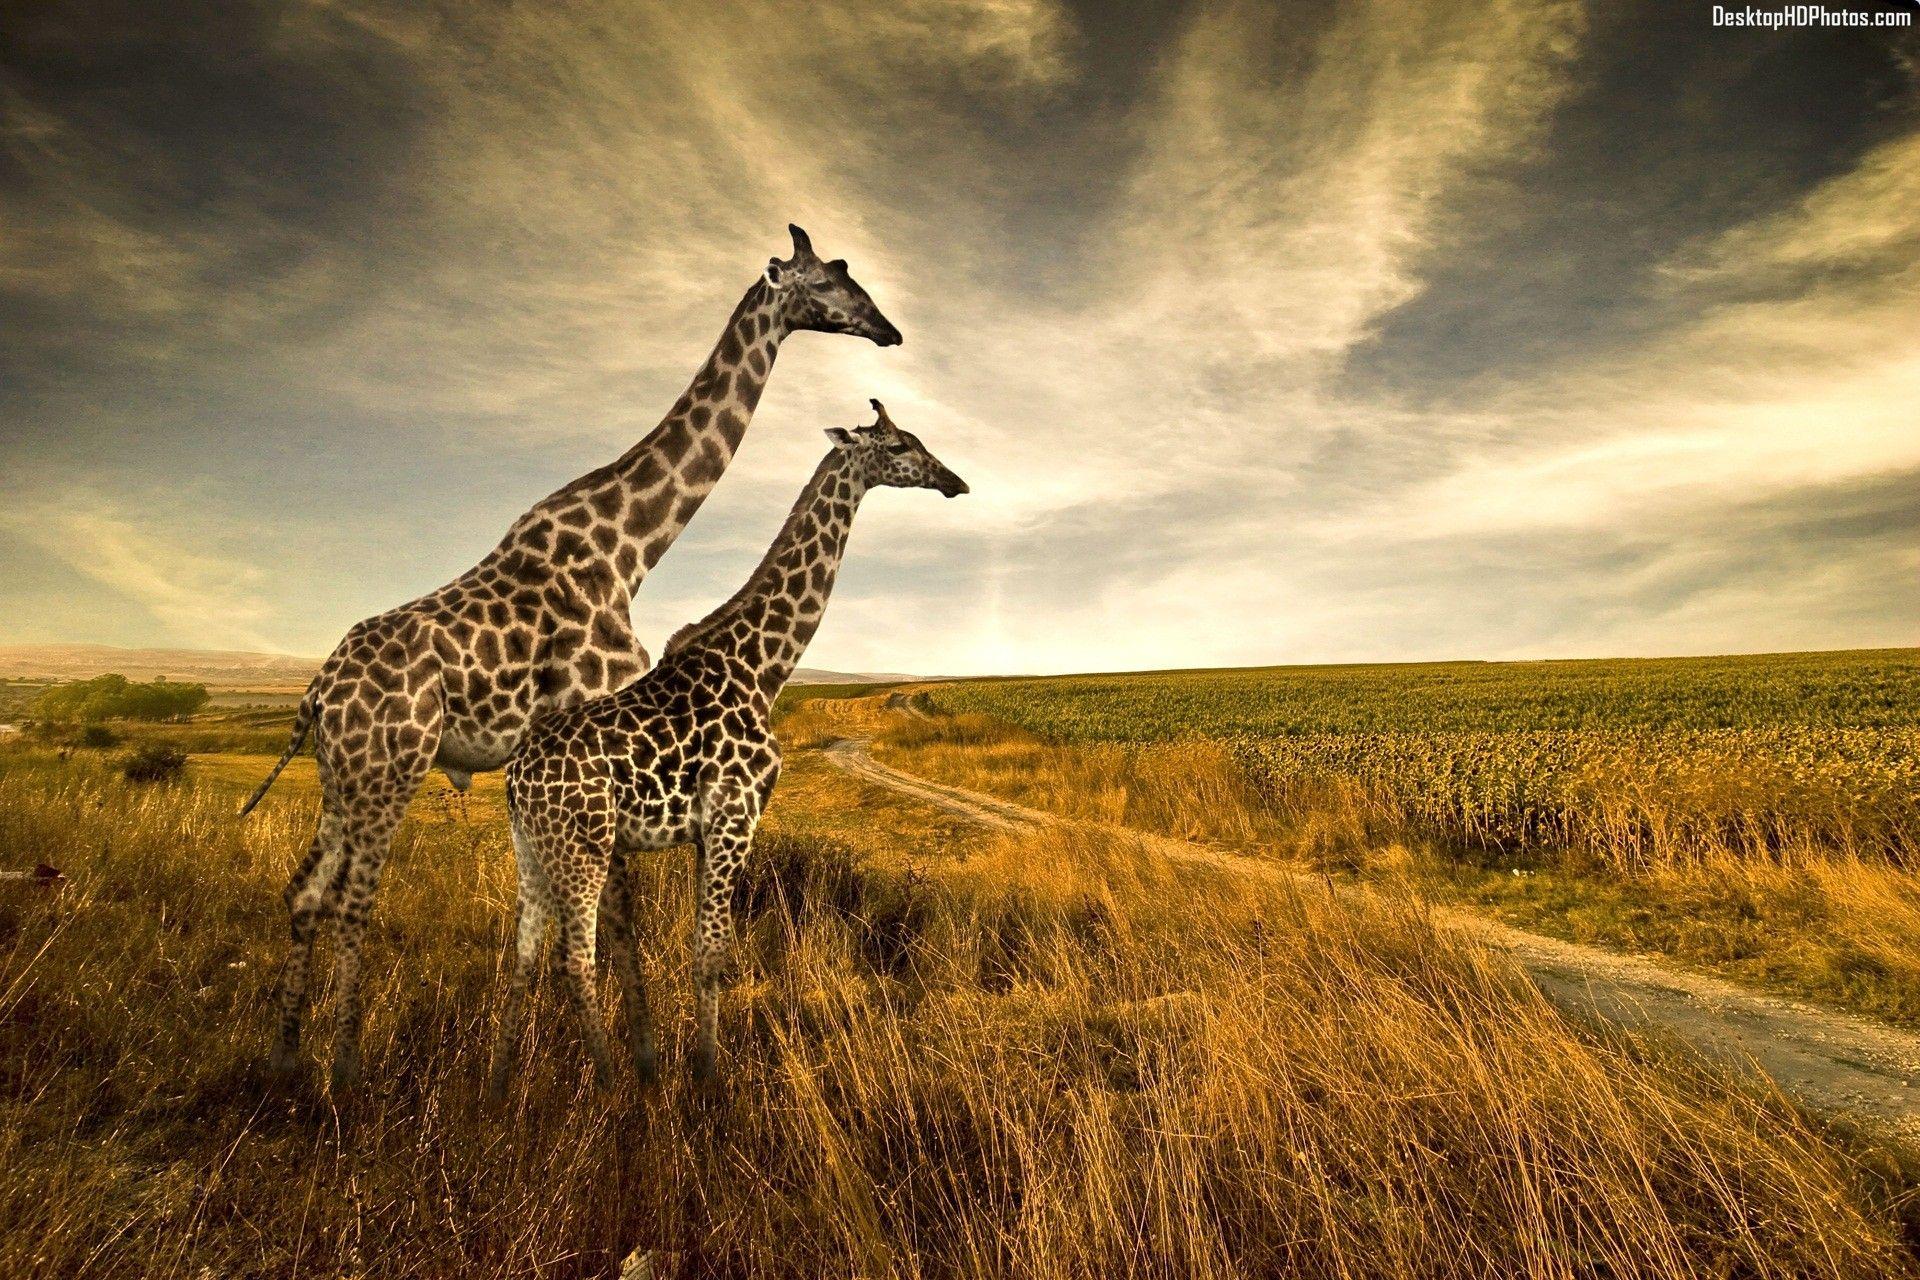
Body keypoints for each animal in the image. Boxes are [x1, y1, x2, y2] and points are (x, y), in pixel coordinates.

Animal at [244, 226, 902, 1090]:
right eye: (830, 281)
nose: (890, 331)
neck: (632, 543)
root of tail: (315, 695)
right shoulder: (598, 713)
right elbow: (616, 915)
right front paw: (640, 1058)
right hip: (392, 768)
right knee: (355, 899)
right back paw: (346, 1068)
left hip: (341, 777)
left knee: (305, 892)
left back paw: (284, 1058)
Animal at [494, 401, 966, 1091]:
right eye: (901, 444)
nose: (955, 481)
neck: (764, 666)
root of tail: (515, 779)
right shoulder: (736, 814)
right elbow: (712, 954)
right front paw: (711, 1081)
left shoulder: (706, 828)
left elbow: (704, 947)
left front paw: (702, 1068)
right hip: (583, 846)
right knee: (573, 960)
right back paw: (614, 1085)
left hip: (533, 848)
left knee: (525, 958)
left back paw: (502, 1087)